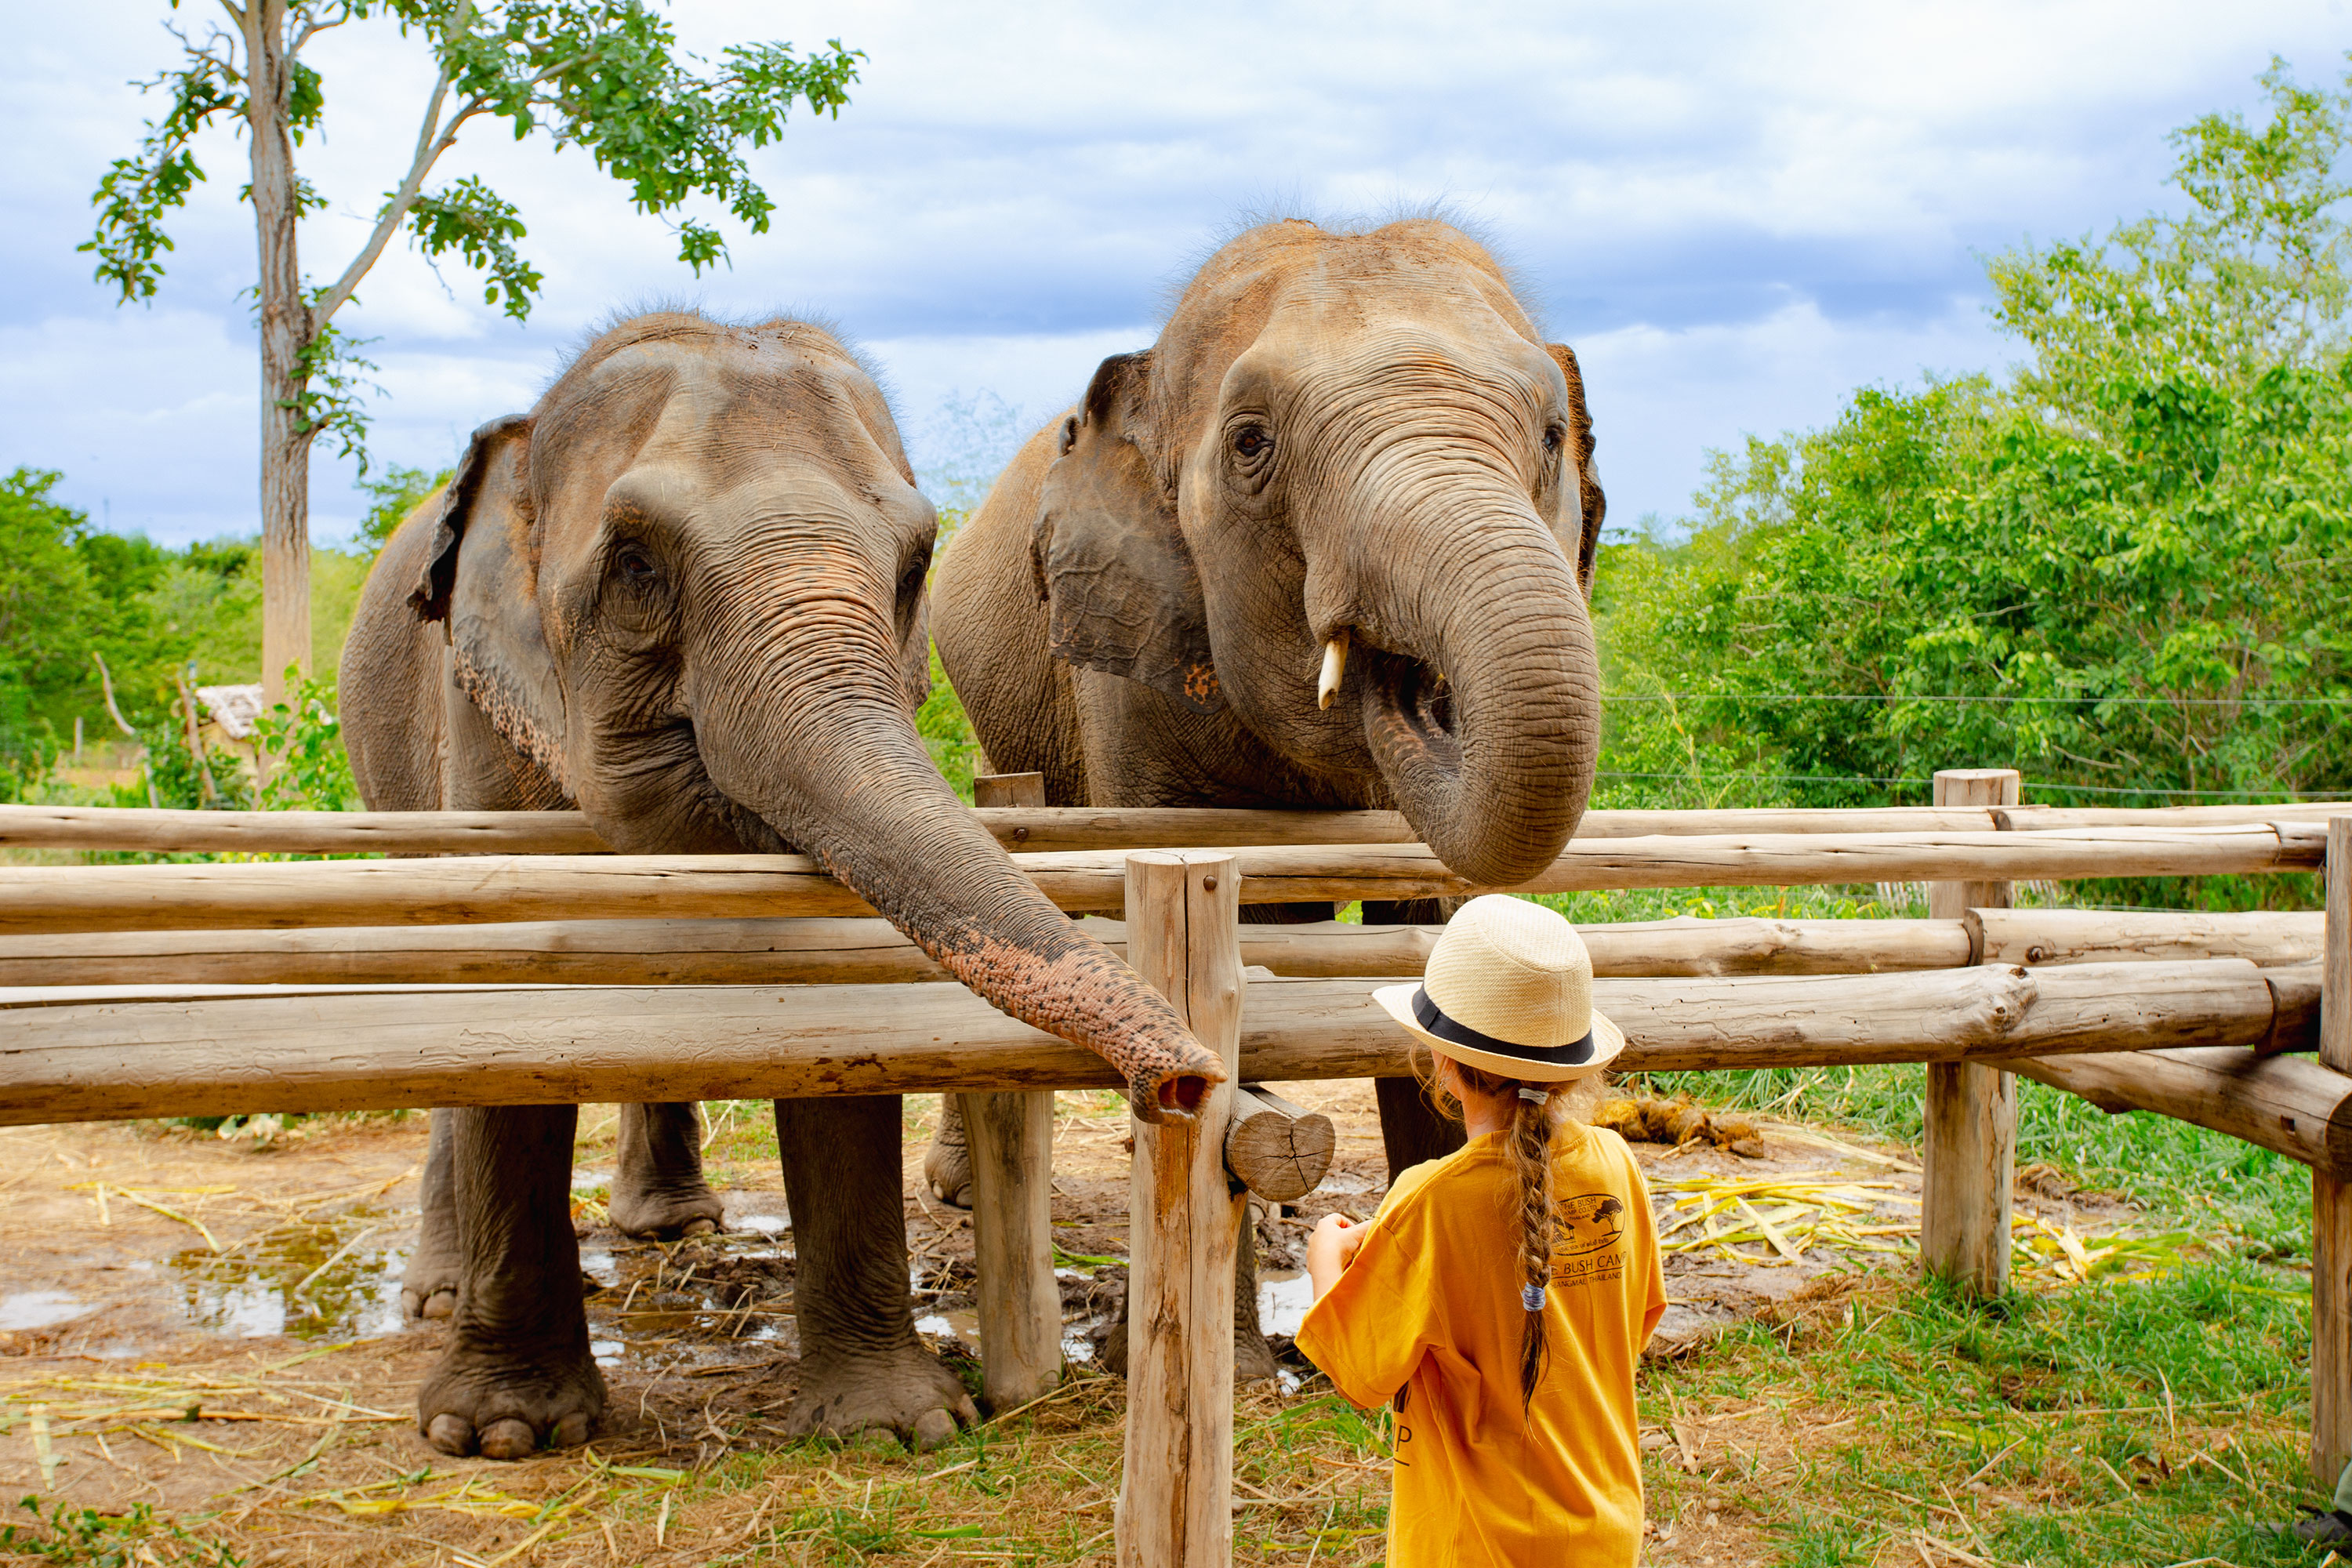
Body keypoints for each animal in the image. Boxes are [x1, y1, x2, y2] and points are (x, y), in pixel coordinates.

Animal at [339, 310, 1221, 1459]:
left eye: (915, 562)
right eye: (635, 565)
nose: (1192, 1085)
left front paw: (893, 1429)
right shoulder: (482, 715)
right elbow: (514, 1000)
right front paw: (499, 1436)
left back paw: (670, 1226)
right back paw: (443, 1296)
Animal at [928, 218, 1607, 1373]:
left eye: (1554, 434)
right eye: (1251, 445)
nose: (1404, 677)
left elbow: (1423, 925)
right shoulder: (1124, 669)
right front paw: (1217, 1359)